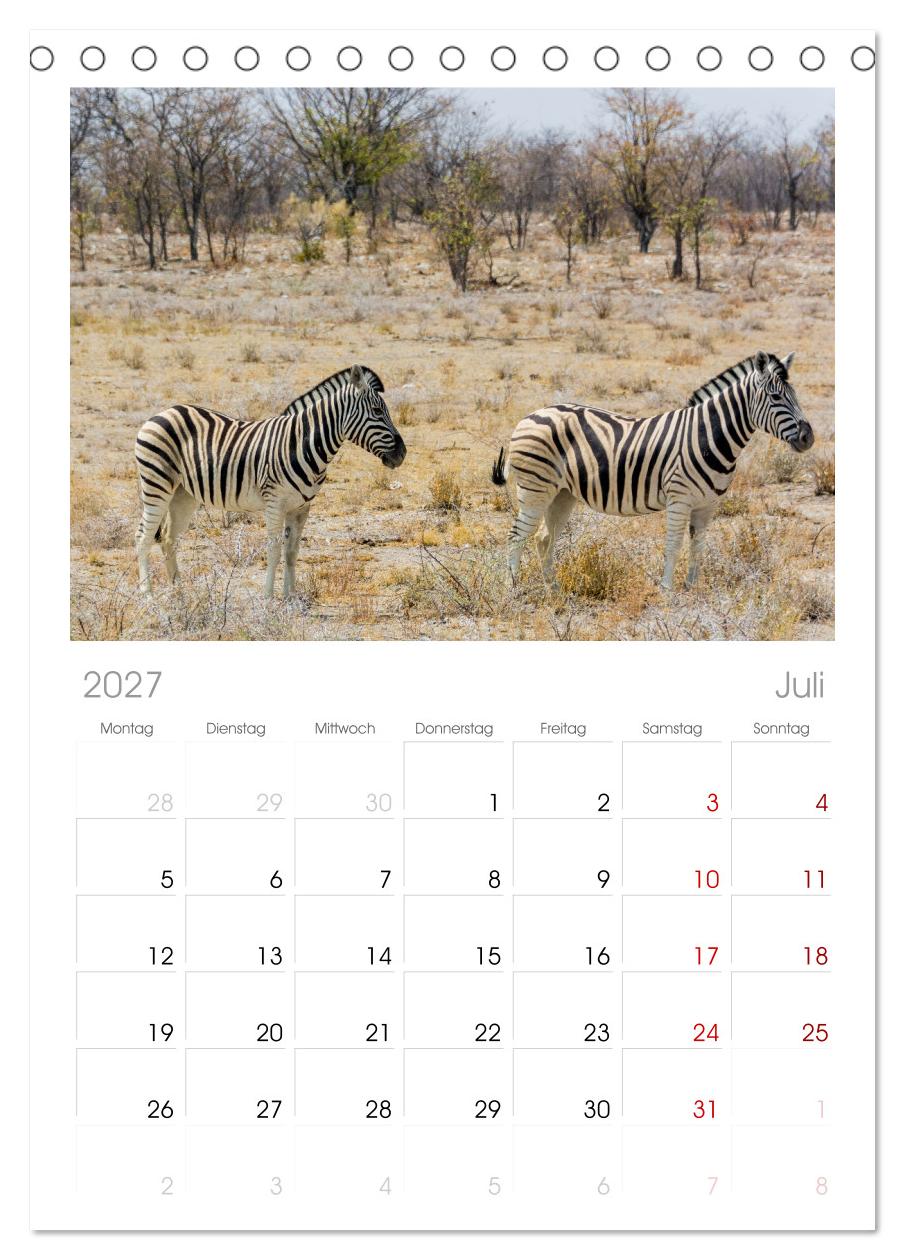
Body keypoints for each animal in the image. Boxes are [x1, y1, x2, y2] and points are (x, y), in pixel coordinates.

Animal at [134, 364, 405, 598]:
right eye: (377, 412)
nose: (402, 453)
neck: (301, 444)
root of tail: (163, 411)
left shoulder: (301, 507)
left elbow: (292, 551)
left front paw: (290, 598)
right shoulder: (274, 503)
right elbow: (274, 550)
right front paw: (268, 598)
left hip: (183, 494)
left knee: (168, 538)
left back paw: (179, 590)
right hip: (157, 484)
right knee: (143, 537)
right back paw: (148, 594)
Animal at [490, 350, 814, 591]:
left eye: (795, 395)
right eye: (776, 397)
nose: (808, 437)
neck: (707, 435)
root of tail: (529, 416)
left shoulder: (707, 505)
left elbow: (698, 548)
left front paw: (691, 590)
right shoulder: (679, 499)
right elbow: (673, 545)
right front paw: (667, 591)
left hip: (562, 494)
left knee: (544, 537)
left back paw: (553, 588)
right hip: (535, 488)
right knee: (516, 535)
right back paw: (513, 589)